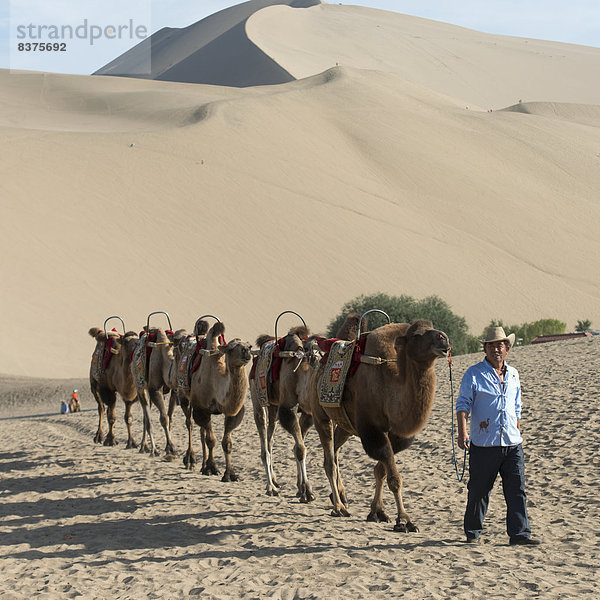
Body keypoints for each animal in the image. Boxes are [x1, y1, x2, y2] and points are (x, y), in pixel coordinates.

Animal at [132, 326, 177, 458]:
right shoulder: (154, 389)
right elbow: (164, 418)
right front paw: (172, 447)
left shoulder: (174, 390)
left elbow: (169, 417)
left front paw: (168, 447)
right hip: (140, 385)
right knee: (147, 418)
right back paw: (151, 449)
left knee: (145, 417)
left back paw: (145, 447)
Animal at [189, 322, 252, 480]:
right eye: (230, 348)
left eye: (249, 346)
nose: (246, 351)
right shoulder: (202, 409)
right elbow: (211, 440)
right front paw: (211, 468)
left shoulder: (233, 412)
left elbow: (227, 443)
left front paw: (230, 474)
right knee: (190, 425)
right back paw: (191, 462)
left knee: (201, 433)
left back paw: (202, 464)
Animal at [251, 326, 318, 500]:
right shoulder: (287, 408)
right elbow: (300, 449)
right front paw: (307, 491)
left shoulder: (307, 412)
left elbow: (298, 447)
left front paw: (301, 488)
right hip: (257, 399)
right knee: (264, 443)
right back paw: (270, 487)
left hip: (273, 407)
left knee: (270, 440)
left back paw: (274, 480)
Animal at [304, 316, 450, 532]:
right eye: (416, 335)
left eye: (433, 328)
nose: (443, 338)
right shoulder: (371, 430)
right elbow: (394, 478)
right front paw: (404, 520)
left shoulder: (397, 435)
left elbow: (380, 471)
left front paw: (377, 512)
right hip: (320, 414)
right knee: (329, 460)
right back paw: (339, 507)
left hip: (345, 425)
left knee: (335, 451)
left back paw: (339, 496)